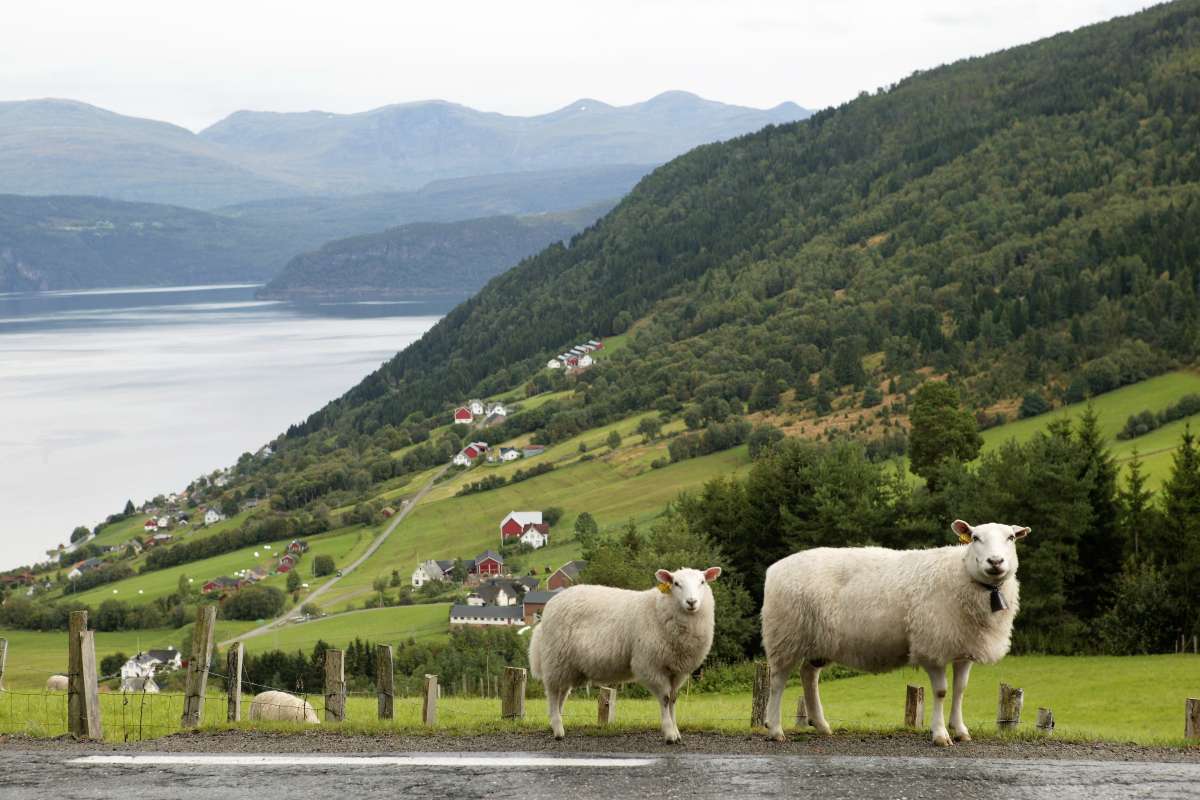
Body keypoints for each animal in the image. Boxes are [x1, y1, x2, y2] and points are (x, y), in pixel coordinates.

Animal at [528, 563, 715, 743]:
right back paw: (558, 730)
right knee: (553, 694)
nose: (691, 602)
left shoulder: (677, 670)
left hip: (568, 666)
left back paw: (555, 723)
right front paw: (669, 734)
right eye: (676, 583)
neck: (658, 609)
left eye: (702, 582)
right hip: (555, 659)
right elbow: (665, 698)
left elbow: (673, 699)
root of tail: (551, 604)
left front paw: (676, 731)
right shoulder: (650, 665)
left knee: (561, 695)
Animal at [763, 522, 1027, 748]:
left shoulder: (962, 646)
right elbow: (941, 692)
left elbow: (960, 689)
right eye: (975, 538)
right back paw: (775, 729)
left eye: (1011, 537)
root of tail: (775, 568)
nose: (995, 561)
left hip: (819, 641)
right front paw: (940, 734)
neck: (961, 573)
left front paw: (960, 730)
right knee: (777, 681)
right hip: (785, 635)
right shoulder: (932, 645)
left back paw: (821, 725)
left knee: (808, 675)